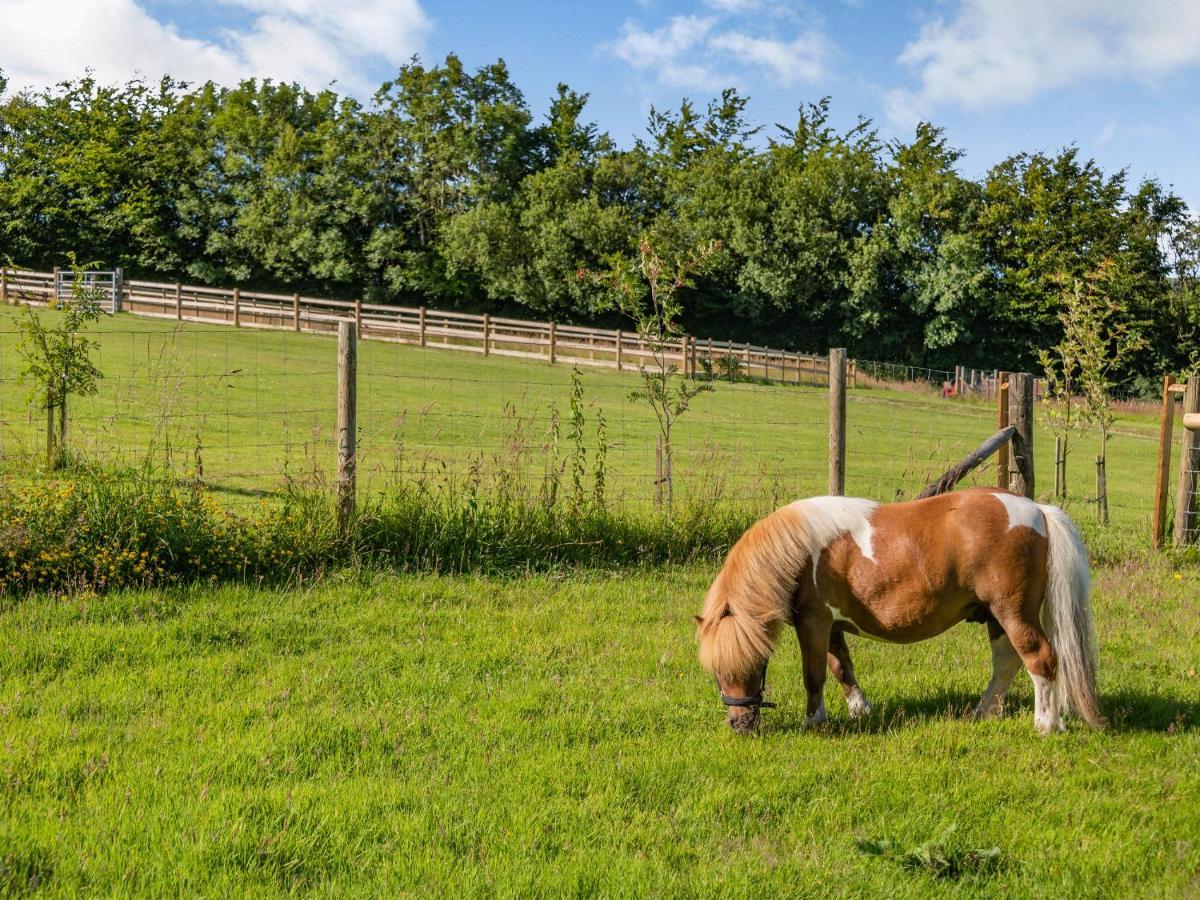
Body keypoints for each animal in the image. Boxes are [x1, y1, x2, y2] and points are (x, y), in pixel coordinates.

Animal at [691, 489, 1099, 734]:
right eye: (715, 673)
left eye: (754, 664)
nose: (740, 724)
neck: (799, 552)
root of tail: (1037, 510)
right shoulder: (831, 624)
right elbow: (842, 668)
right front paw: (859, 710)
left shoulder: (813, 623)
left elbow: (815, 676)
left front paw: (814, 721)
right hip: (995, 615)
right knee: (1006, 663)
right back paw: (983, 711)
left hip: (1012, 612)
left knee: (1040, 659)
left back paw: (1045, 724)